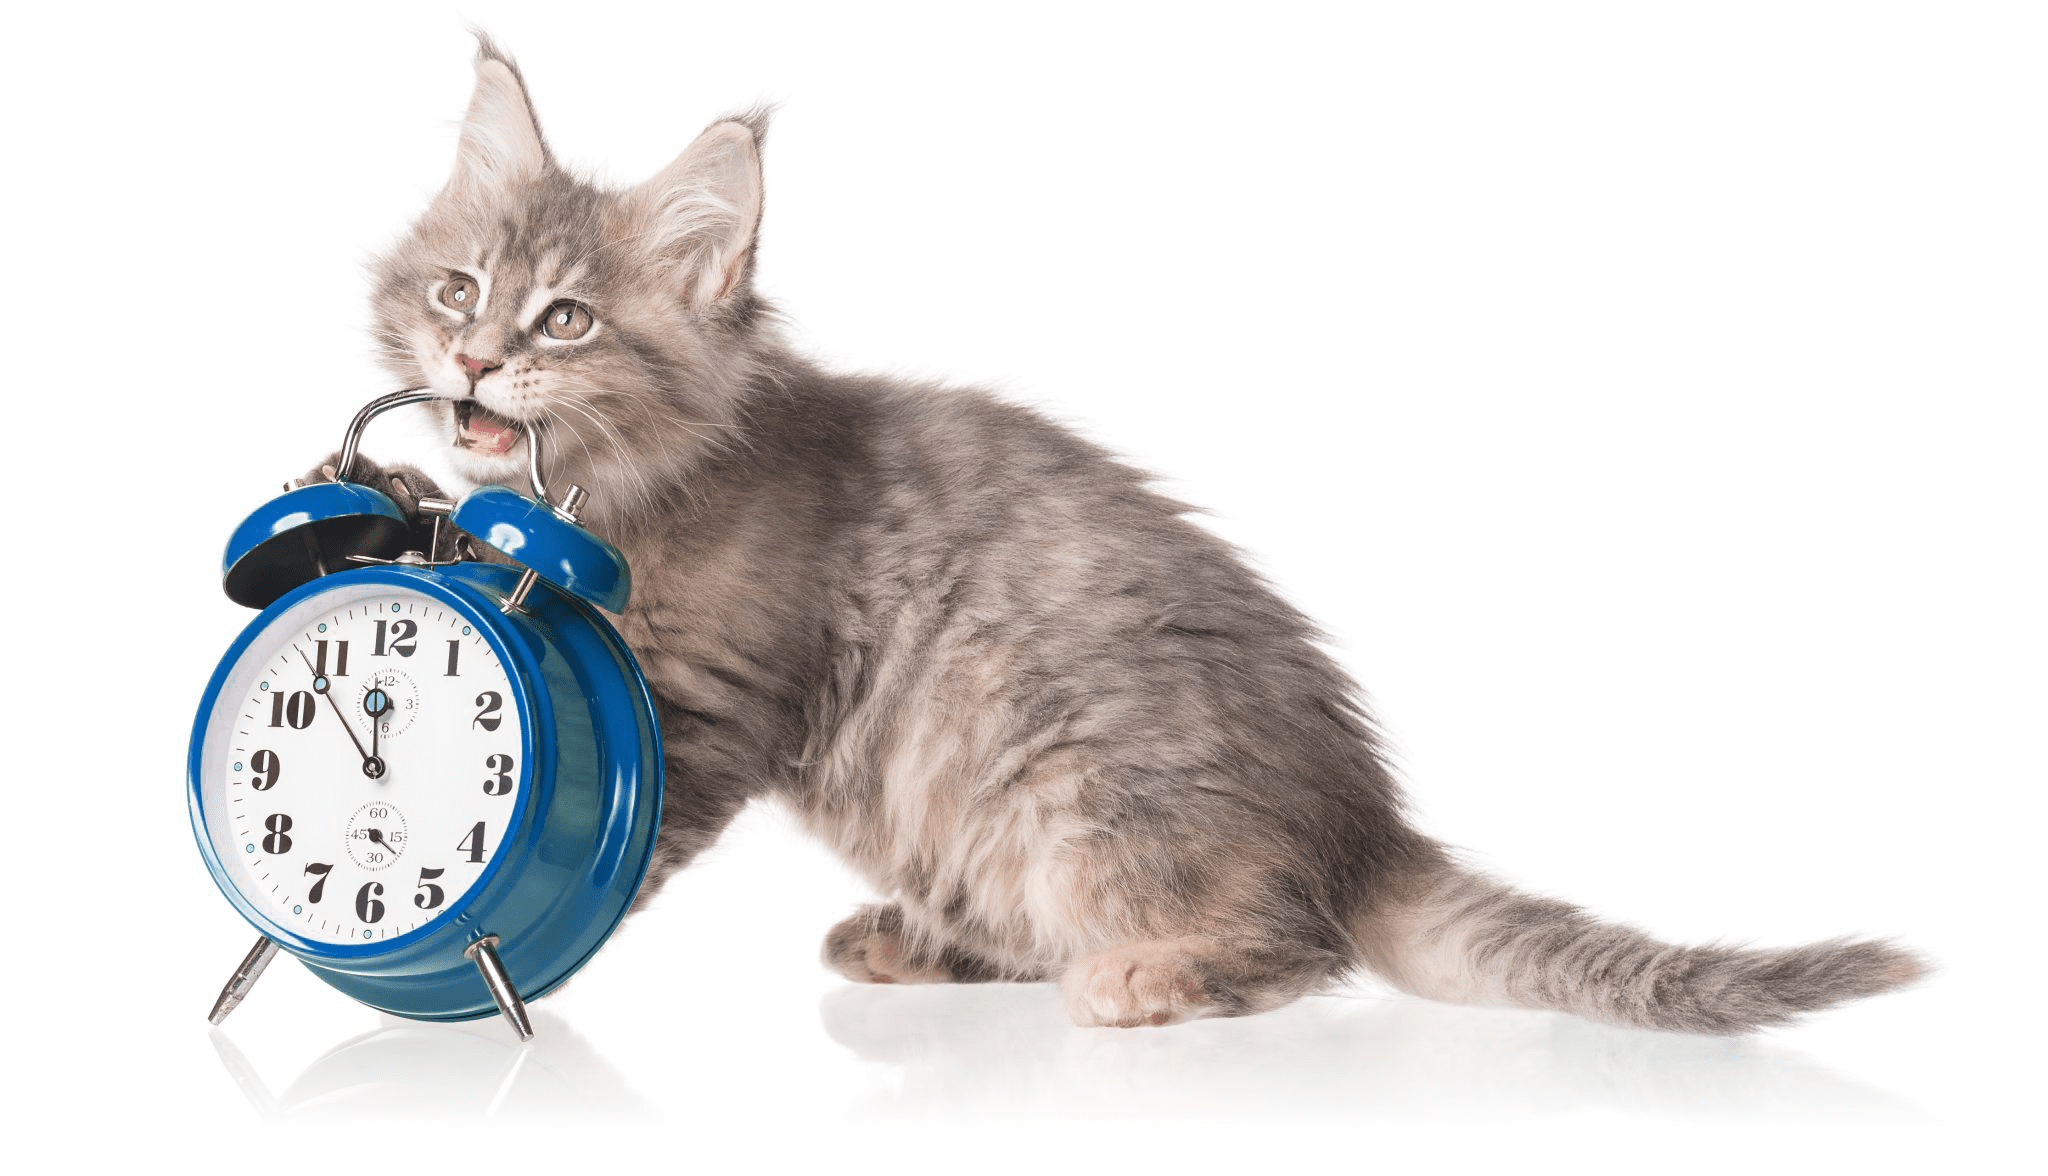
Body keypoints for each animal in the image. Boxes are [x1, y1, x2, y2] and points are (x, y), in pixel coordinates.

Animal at [335, 36, 1916, 1032]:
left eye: (567, 321)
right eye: (460, 291)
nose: (473, 363)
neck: (633, 487)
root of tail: (1360, 822)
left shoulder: (703, 707)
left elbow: (598, 856)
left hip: (1080, 792)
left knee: (1295, 947)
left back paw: (1149, 977)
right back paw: (911, 942)